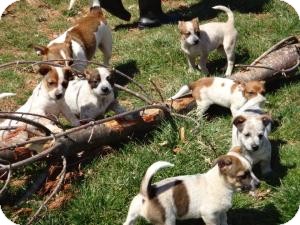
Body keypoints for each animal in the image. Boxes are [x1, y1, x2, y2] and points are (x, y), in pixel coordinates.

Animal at [123, 146, 258, 225]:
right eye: (243, 176)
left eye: (252, 171)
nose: (258, 184)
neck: (221, 184)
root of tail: (147, 192)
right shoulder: (209, 215)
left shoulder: (221, 213)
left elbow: (224, 222)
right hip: (167, 221)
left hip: (132, 215)